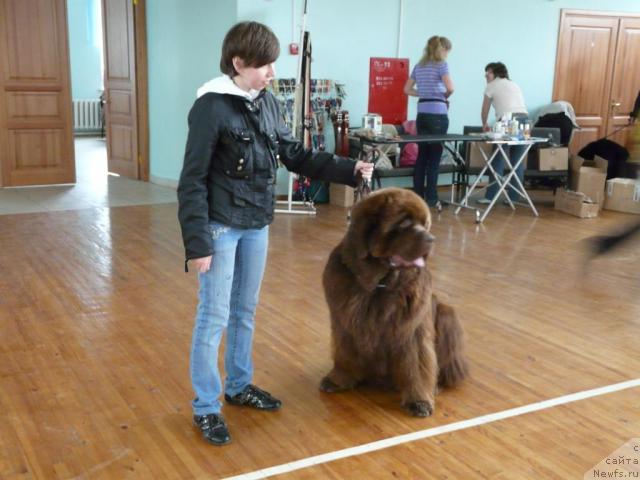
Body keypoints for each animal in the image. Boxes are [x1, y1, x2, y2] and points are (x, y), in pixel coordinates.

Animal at [322, 188, 468, 416]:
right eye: (404, 223)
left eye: (425, 224)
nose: (431, 238)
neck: (380, 283)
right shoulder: (344, 324)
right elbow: (344, 352)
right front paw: (339, 379)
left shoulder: (411, 331)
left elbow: (417, 365)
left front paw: (419, 400)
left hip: (447, 315)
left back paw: (436, 386)